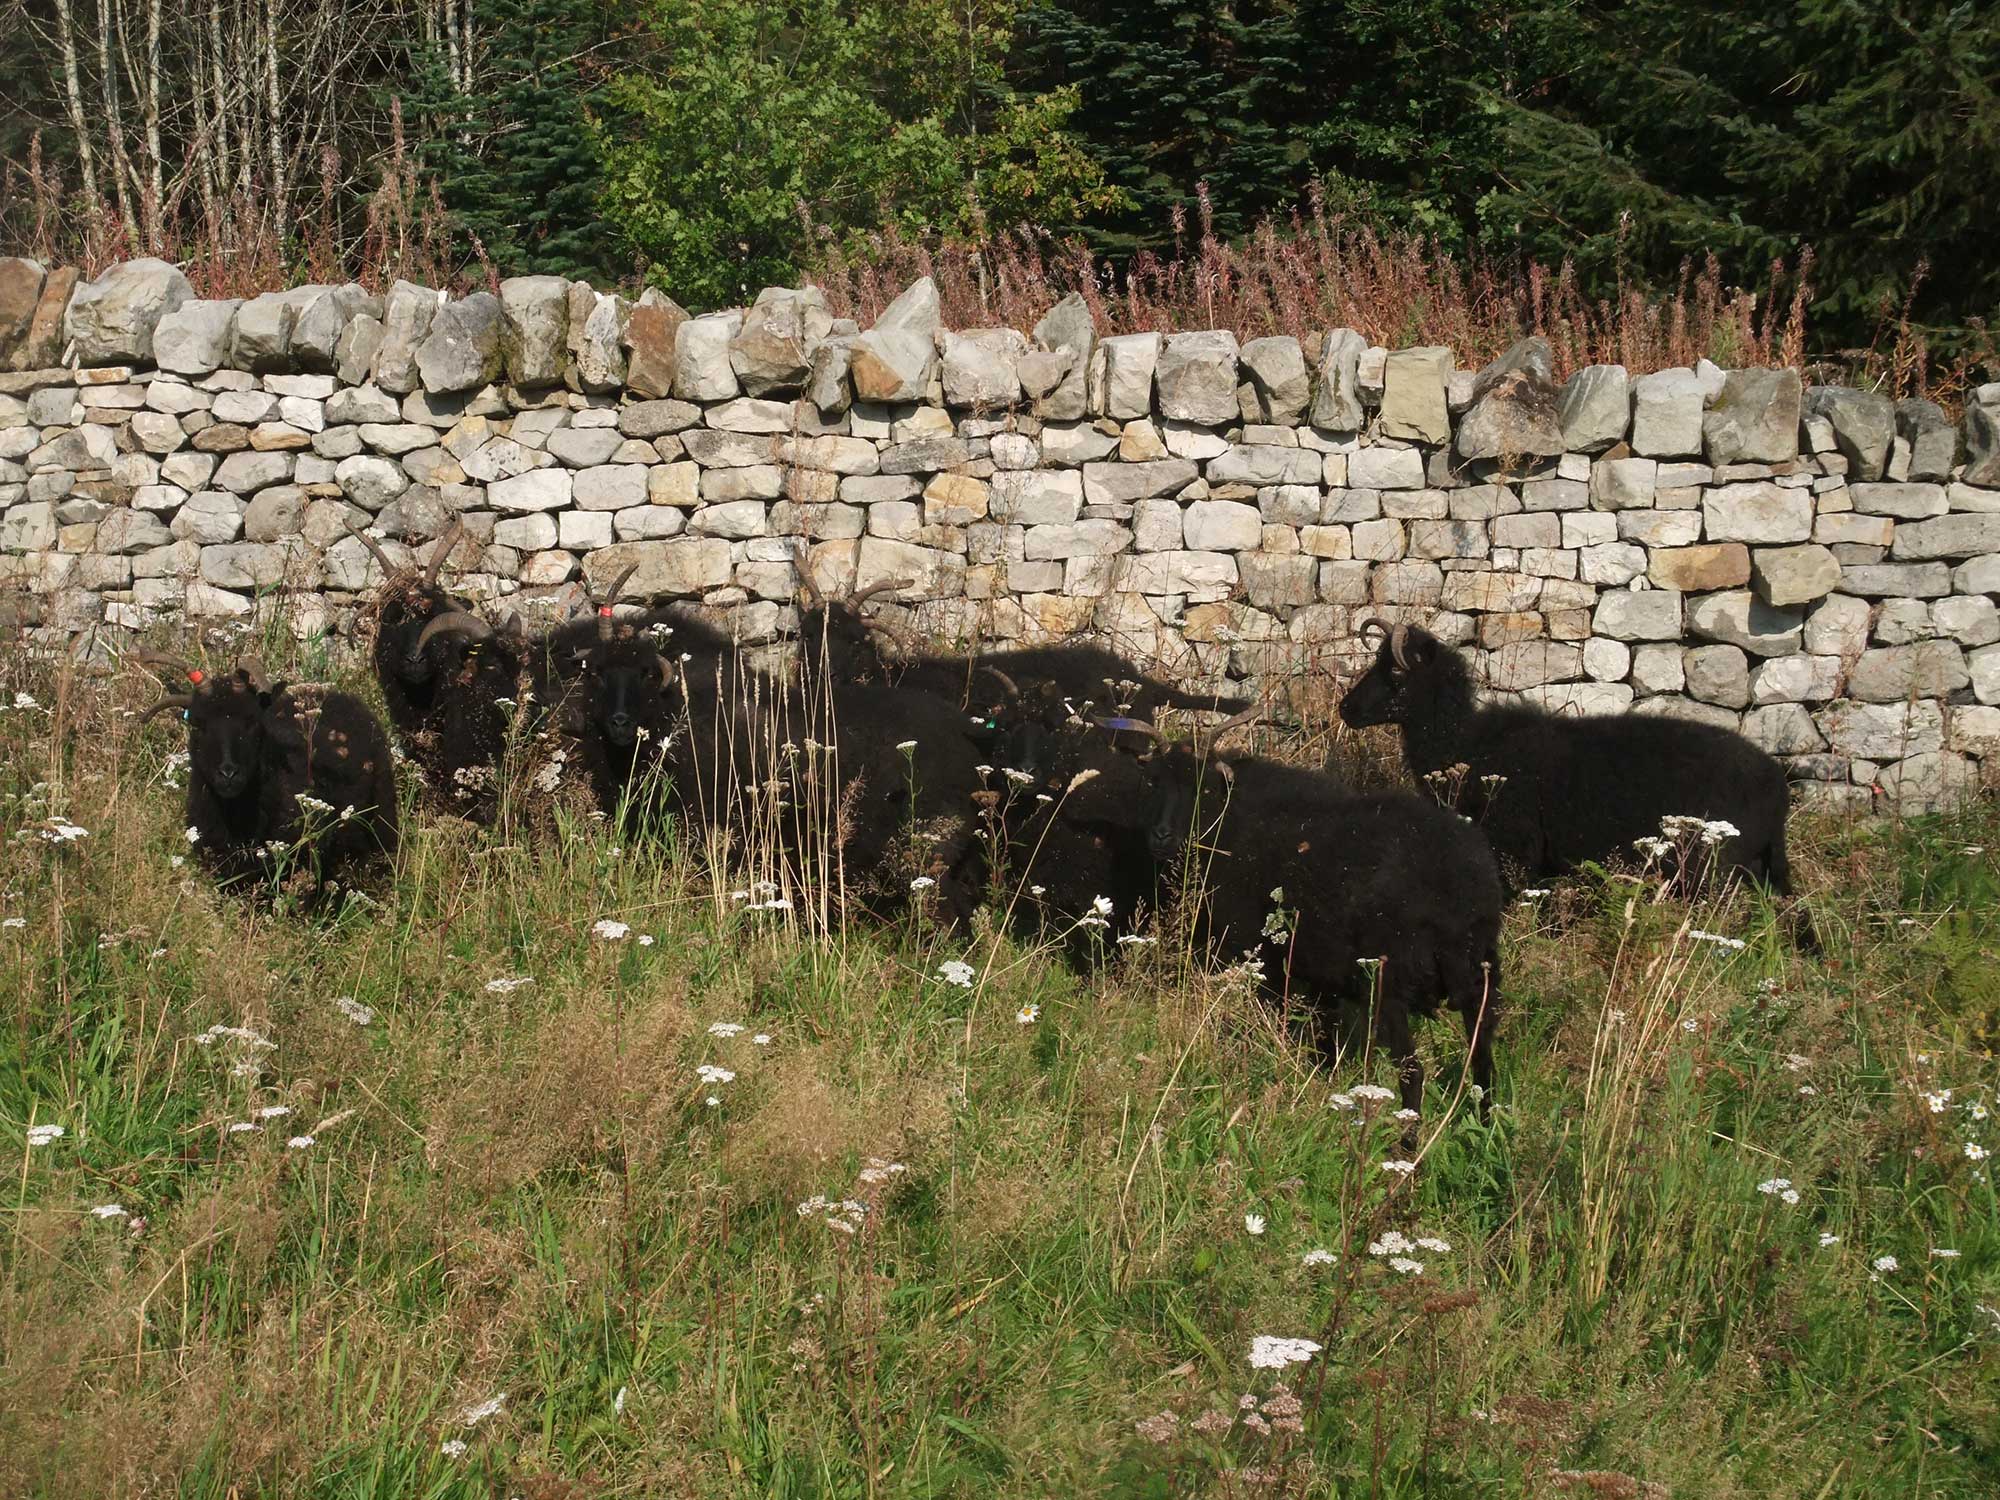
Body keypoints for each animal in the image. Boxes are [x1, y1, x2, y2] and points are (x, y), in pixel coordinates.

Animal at [1344, 620, 1800, 900]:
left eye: (1396, 674)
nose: (1345, 708)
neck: (1467, 743)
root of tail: (1778, 788)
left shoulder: (1518, 853)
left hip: (1718, 868)